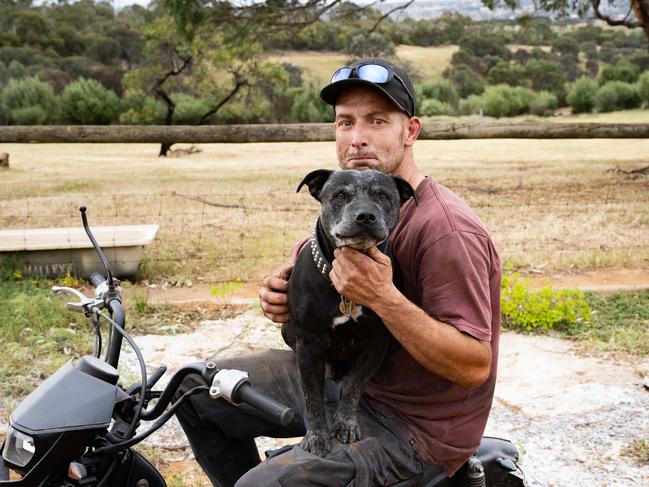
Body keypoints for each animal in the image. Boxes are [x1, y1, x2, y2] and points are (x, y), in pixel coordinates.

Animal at [282, 168, 416, 458]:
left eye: (383, 196)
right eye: (340, 195)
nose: (365, 216)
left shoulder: (376, 344)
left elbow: (354, 387)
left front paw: (345, 423)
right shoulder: (308, 345)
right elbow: (312, 396)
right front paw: (317, 435)